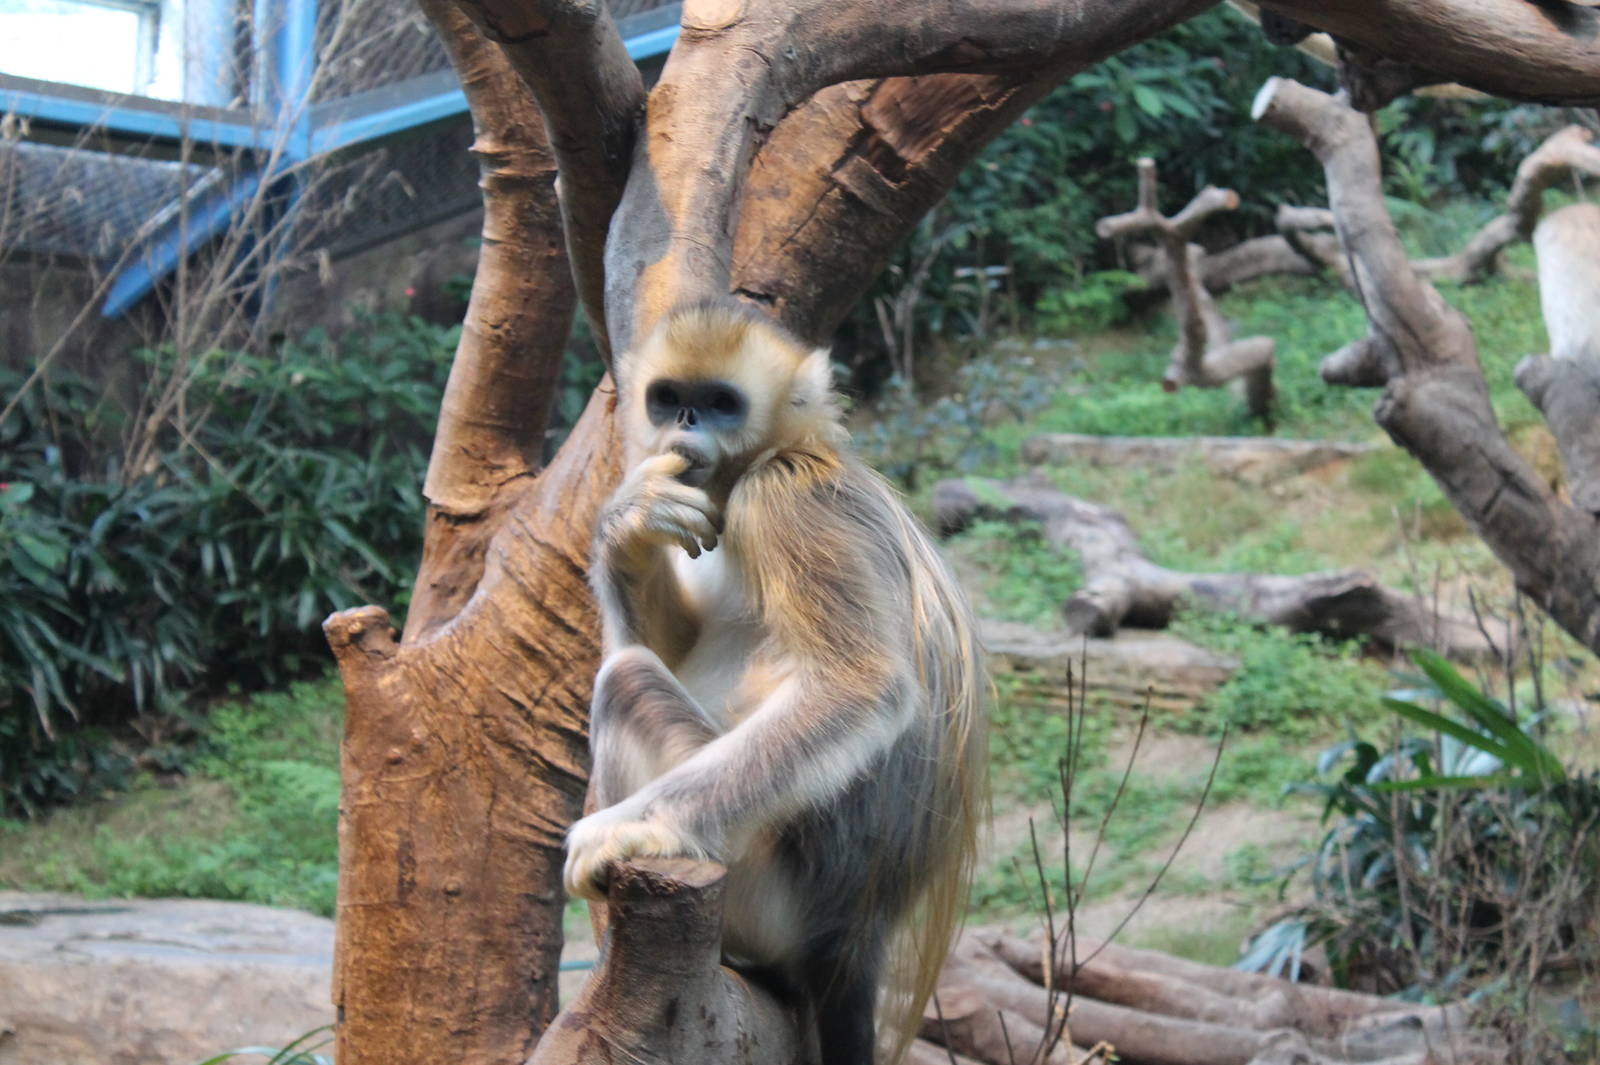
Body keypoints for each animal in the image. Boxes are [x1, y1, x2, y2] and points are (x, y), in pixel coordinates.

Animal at [563, 302, 987, 1065]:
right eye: (670, 397)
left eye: (721, 402)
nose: (687, 419)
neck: (776, 456)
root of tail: (854, 938)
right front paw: (630, 522)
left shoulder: (785, 499)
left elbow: (863, 686)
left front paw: (634, 828)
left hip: (761, 890)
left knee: (626, 678)